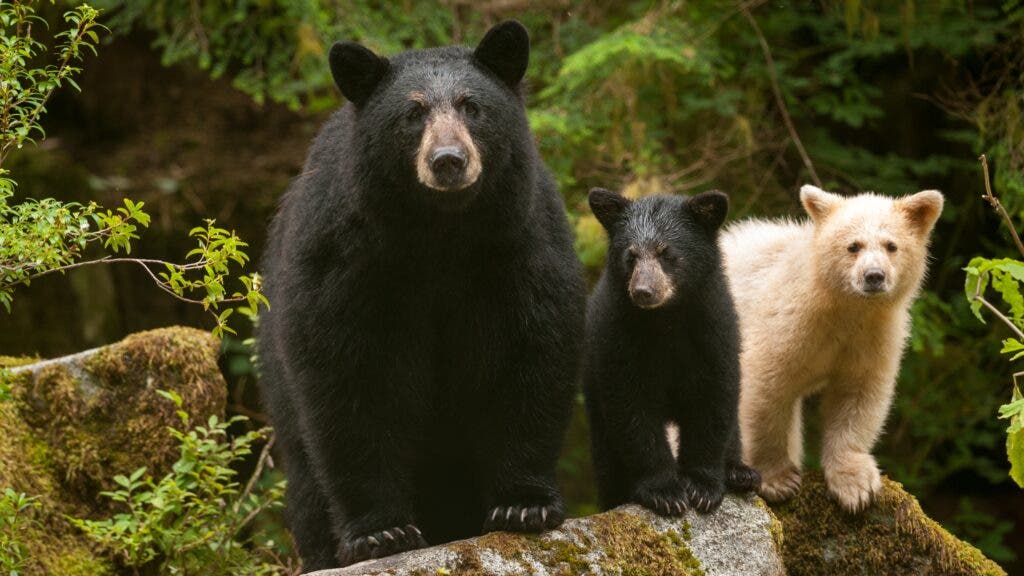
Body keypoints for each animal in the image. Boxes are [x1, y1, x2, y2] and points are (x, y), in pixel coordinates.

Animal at [256, 21, 585, 570]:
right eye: (412, 114)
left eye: (472, 106)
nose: (448, 161)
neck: (440, 234)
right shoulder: (348, 259)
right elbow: (350, 376)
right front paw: (380, 533)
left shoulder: (518, 244)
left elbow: (529, 353)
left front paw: (523, 506)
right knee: (305, 482)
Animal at [582, 188, 761, 517]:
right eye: (631, 255)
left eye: (667, 253)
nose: (643, 291)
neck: (666, 319)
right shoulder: (619, 338)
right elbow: (633, 410)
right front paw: (664, 492)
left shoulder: (714, 331)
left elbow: (713, 402)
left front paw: (702, 487)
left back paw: (739, 473)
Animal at [722, 185, 944, 512]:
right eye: (854, 246)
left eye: (891, 245)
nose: (874, 276)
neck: (842, 307)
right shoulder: (786, 322)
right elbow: (765, 387)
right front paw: (777, 480)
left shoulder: (871, 336)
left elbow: (858, 395)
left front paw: (856, 486)